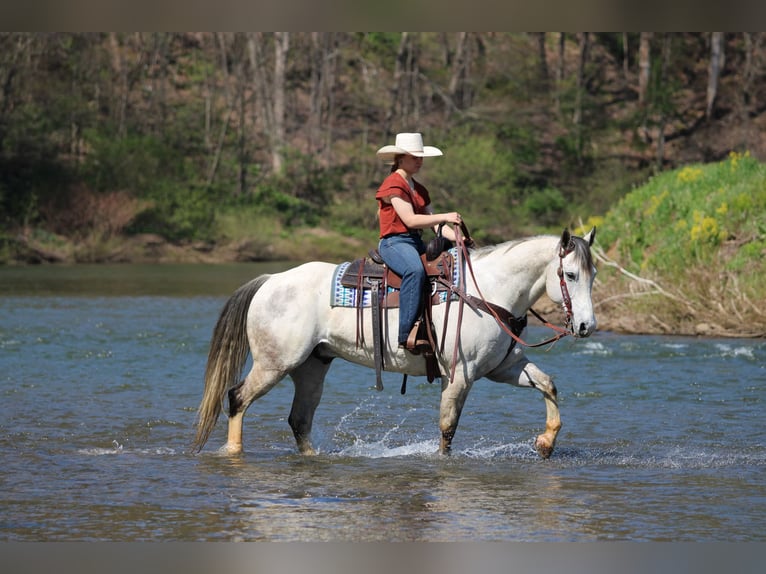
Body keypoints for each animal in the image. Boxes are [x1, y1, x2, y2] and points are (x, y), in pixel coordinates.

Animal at [193, 227, 597, 459]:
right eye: (570, 274)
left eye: (594, 274)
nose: (586, 326)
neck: (487, 291)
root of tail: (269, 280)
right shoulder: (460, 375)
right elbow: (448, 428)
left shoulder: (502, 368)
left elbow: (548, 385)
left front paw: (546, 443)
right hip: (275, 363)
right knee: (237, 398)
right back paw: (233, 452)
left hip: (311, 366)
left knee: (299, 420)